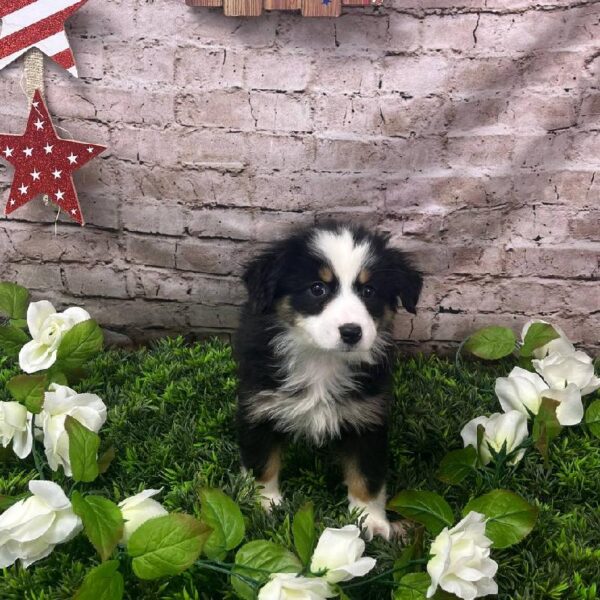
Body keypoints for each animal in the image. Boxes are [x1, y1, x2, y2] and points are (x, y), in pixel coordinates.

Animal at [233, 221, 422, 540]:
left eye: (369, 290)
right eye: (317, 288)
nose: (351, 332)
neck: (322, 359)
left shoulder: (366, 417)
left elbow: (366, 475)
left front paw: (371, 522)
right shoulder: (260, 406)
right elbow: (262, 462)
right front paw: (264, 505)